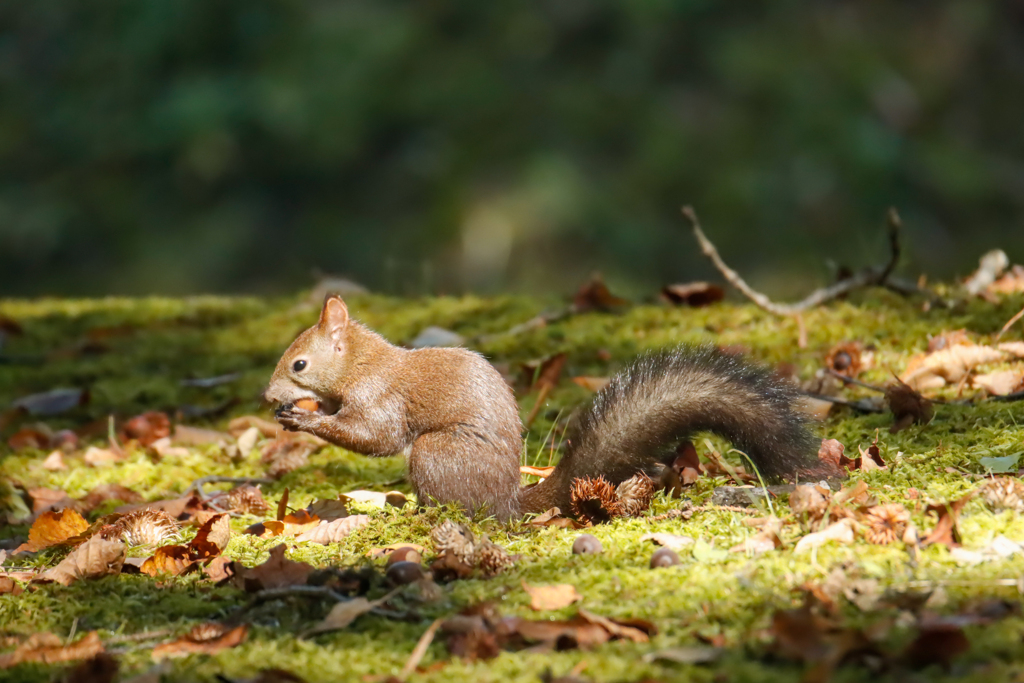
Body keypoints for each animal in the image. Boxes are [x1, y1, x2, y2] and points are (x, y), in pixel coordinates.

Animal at [266, 294, 823, 524]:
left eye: (298, 363)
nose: (268, 398)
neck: (360, 363)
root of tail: (507, 502)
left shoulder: (380, 397)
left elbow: (373, 437)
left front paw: (306, 418)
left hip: (435, 453)